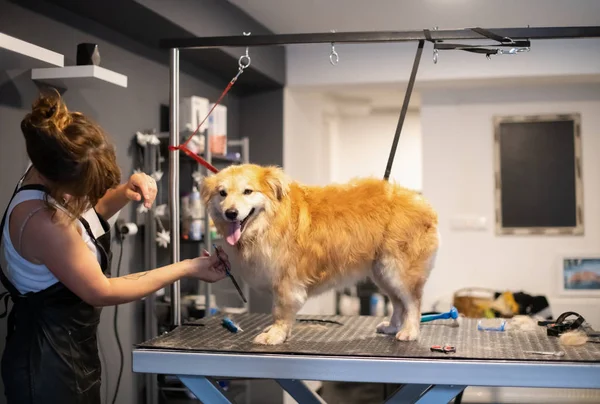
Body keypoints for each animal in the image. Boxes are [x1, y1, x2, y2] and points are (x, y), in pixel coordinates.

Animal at [199, 163, 438, 346]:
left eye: (248, 191)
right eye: (222, 193)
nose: (231, 213)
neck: (271, 222)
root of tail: (422, 204)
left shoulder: (287, 282)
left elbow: (280, 311)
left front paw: (275, 334)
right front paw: (281, 333)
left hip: (398, 270)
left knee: (413, 303)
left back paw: (410, 331)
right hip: (382, 272)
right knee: (398, 303)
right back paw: (392, 326)